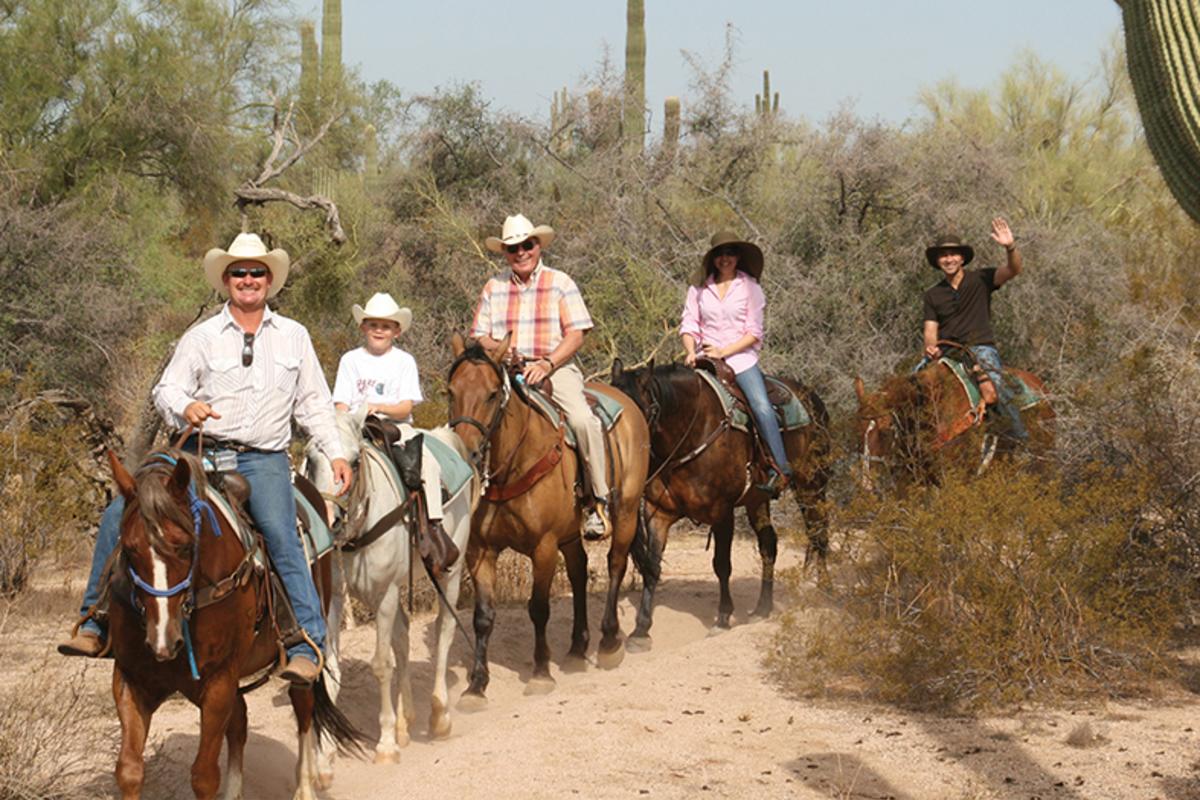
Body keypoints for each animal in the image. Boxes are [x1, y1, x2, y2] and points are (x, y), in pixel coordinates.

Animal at [103, 450, 360, 800]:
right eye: (129, 549)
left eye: (185, 545)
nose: (163, 641)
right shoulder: (132, 680)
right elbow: (129, 771)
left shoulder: (219, 681)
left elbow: (204, 776)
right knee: (240, 721)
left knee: (303, 708)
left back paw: (304, 787)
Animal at [302, 410, 475, 786]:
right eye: (310, 458)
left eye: (354, 461)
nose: (329, 518)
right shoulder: (334, 601)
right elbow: (333, 669)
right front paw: (324, 761)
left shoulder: (386, 595)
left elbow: (381, 665)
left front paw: (384, 746)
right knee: (403, 638)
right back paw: (405, 721)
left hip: (450, 575)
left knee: (443, 633)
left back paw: (439, 716)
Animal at [448, 335, 652, 705]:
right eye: (450, 391)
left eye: (491, 394)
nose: (467, 453)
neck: (512, 466)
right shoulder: (480, 551)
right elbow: (483, 617)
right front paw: (476, 686)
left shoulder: (543, 548)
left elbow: (539, 608)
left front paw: (541, 673)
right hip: (571, 536)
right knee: (579, 572)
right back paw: (576, 649)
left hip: (627, 512)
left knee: (616, 564)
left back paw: (609, 642)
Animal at [609, 359, 835, 642]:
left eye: (639, 413)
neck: (690, 433)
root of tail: (812, 397)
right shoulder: (658, 512)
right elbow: (652, 566)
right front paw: (641, 630)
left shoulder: (722, 512)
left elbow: (722, 565)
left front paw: (723, 618)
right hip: (757, 499)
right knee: (769, 544)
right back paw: (762, 608)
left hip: (811, 486)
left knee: (819, 534)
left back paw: (824, 591)